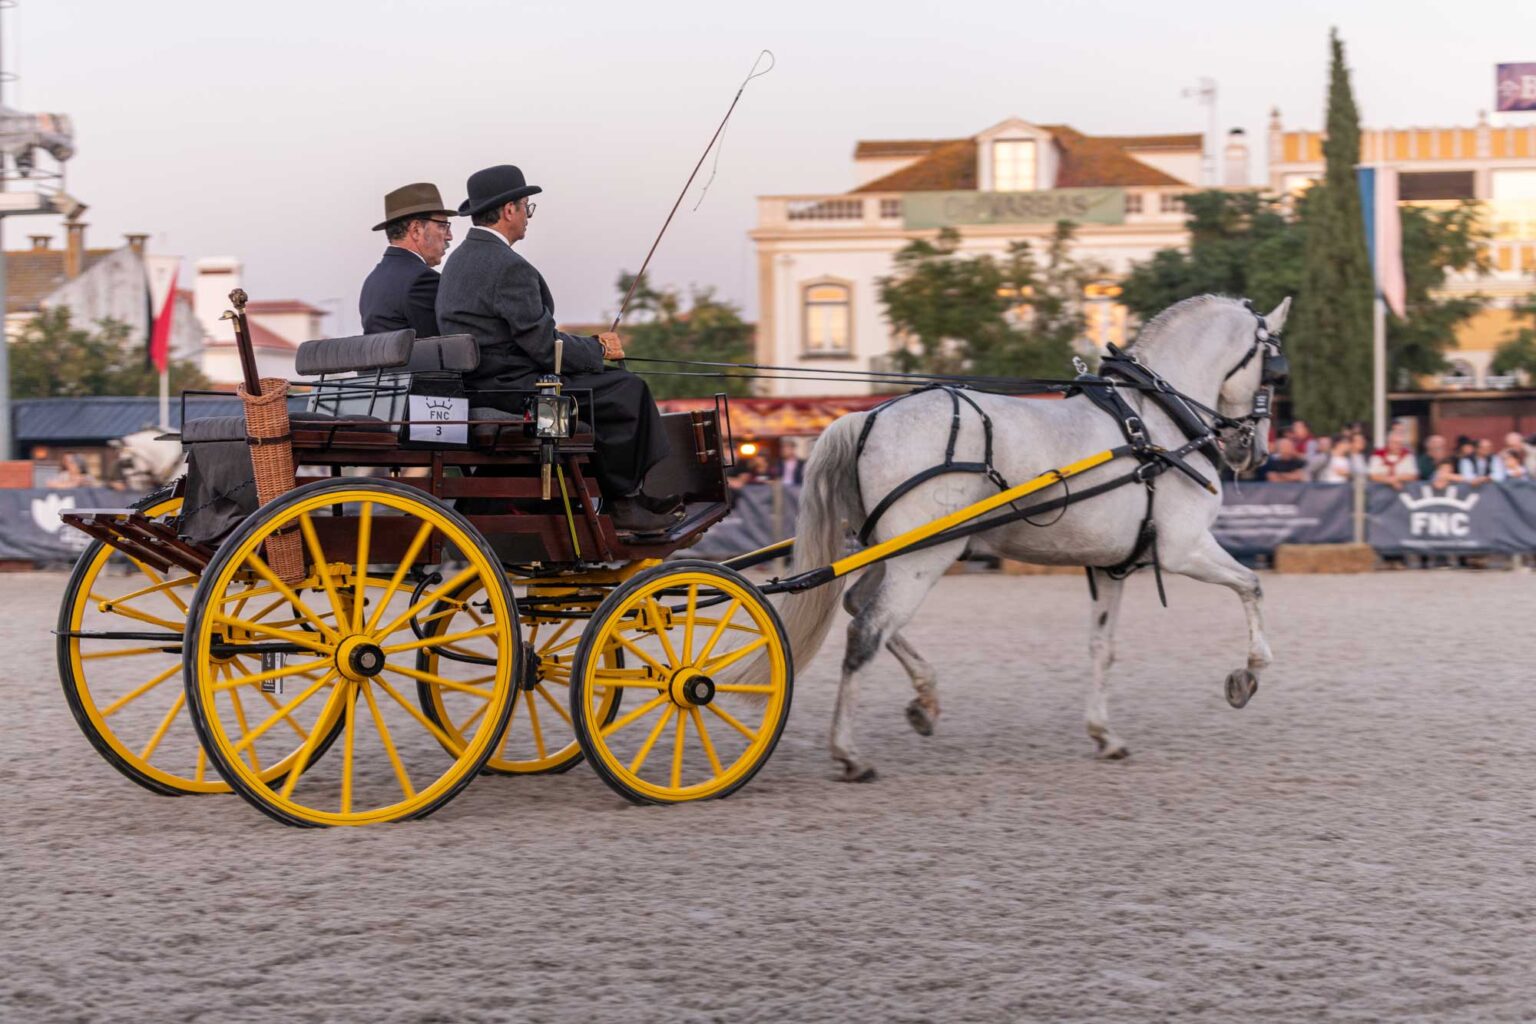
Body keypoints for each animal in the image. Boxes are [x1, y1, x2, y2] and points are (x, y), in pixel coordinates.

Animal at [778, 294, 1290, 781]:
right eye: (1275, 376)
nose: (1254, 452)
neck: (1156, 423)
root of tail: (869, 419)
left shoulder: (1112, 566)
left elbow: (1103, 648)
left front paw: (1104, 734)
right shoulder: (1184, 548)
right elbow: (1252, 586)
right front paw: (1247, 675)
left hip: (892, 553)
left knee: (859, 606)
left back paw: (925, 700)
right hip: (920, 560)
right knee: (868, 630)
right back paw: (849, 753)